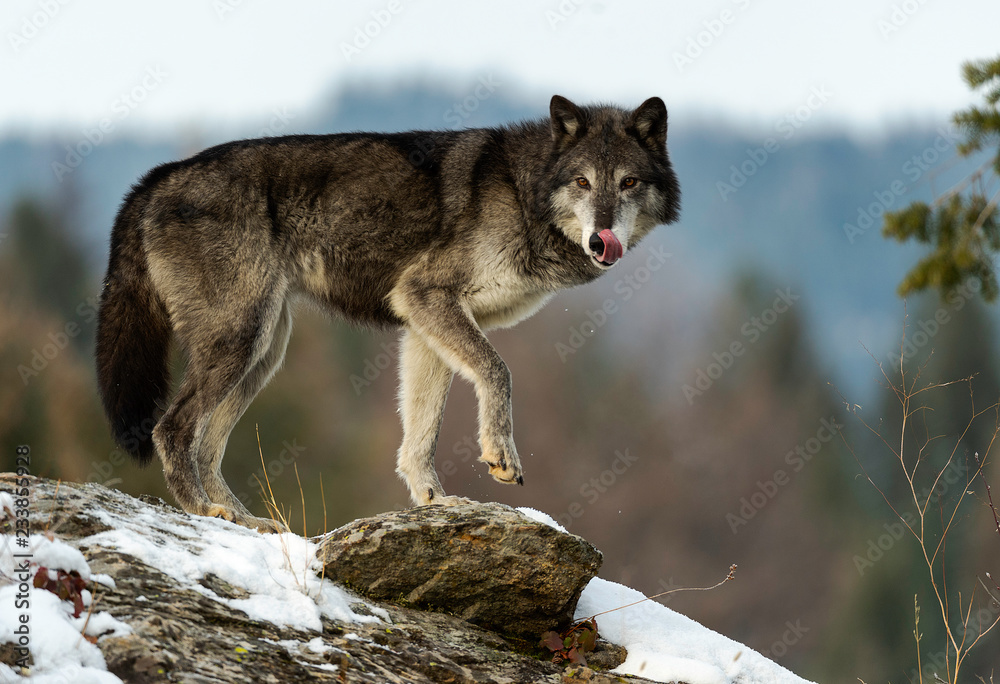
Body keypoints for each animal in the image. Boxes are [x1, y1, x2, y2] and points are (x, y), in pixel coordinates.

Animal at [95, 95, 681, 532]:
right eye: (582, 182)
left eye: (627, 183)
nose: (602, 239)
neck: (522, 192)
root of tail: (158, 176)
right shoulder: (425, 297)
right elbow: (498, 371)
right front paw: (499, 455)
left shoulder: (425, 328)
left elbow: (420, 434)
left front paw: (437, 503)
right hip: (242, 341)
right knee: (170, 429)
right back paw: (204, 510)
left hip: (263, 354)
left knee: (207, 447)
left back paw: (241, 519)